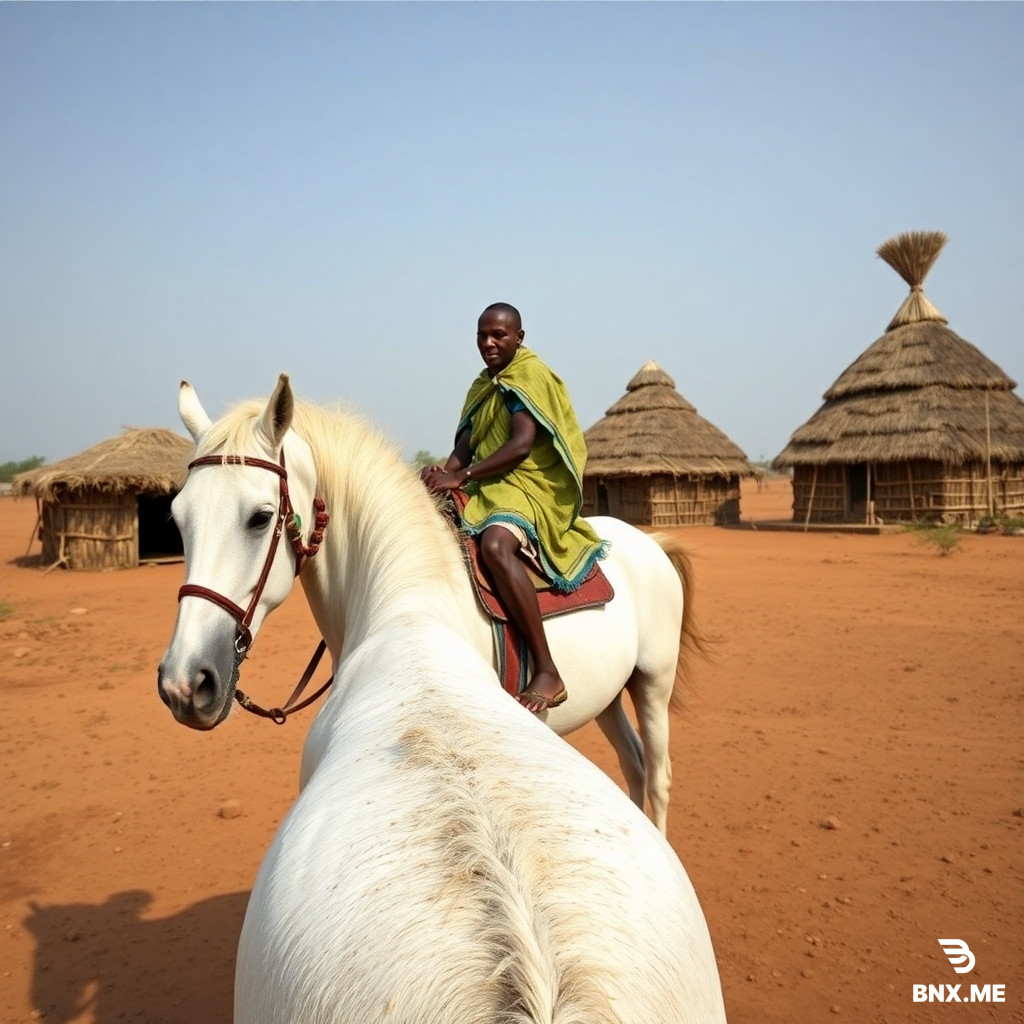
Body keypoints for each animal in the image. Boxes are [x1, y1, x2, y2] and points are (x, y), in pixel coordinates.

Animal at [157, 374, 726, 1024]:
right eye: (177, 519)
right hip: (608, 698)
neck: (409, 608)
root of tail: (648, 541)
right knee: (632, 765)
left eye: (260, 517)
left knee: (658, 772)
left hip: (653, 680)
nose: (186, 681)